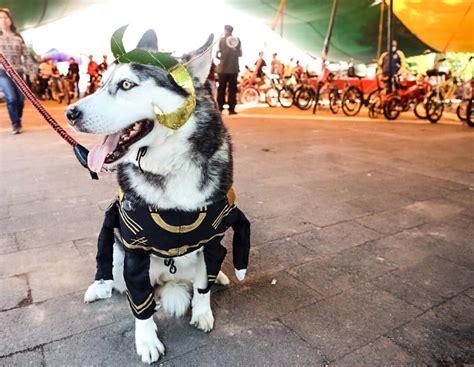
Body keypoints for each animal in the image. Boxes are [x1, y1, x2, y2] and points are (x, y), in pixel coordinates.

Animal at [67, 29, 252, 366]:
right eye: (101, 83)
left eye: (127, 85)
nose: (70, 113)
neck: (171, 168)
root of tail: (169, 278)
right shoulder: (135, 249)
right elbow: (141, 306)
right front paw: (147, 341)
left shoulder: (211, 240)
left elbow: (203, 286)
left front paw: (203, 312)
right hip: (117, 251)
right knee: (113, 277)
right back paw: (99, 288)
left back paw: (219, 277)